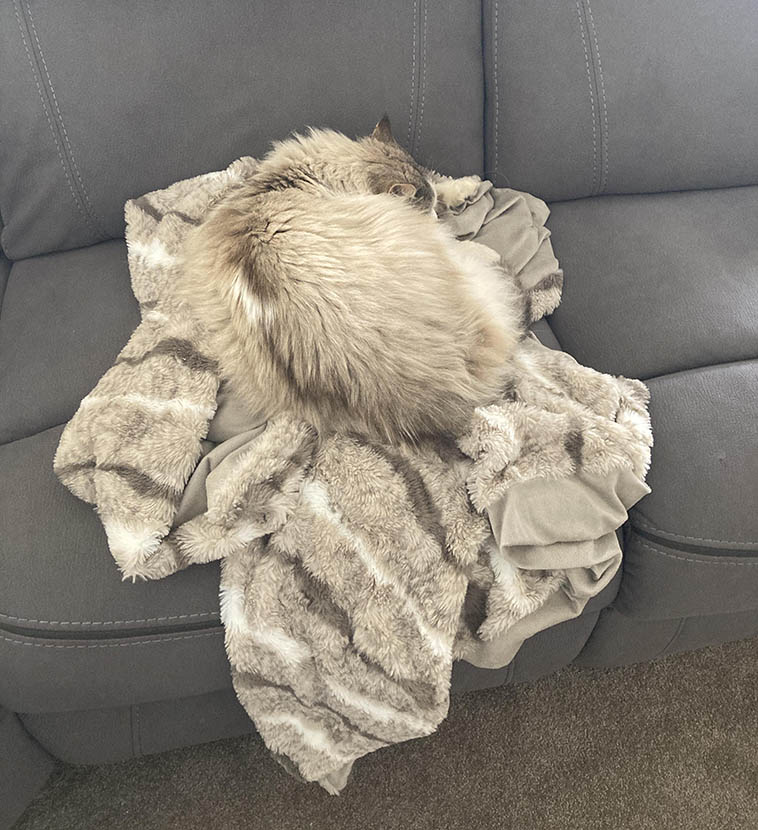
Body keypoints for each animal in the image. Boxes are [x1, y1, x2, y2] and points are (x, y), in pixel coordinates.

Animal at [177, 116, 523, 444]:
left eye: (429, 204)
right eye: (422, 212)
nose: (434, 220)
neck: (303, 179)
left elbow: (441, 183)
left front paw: (468, 186)